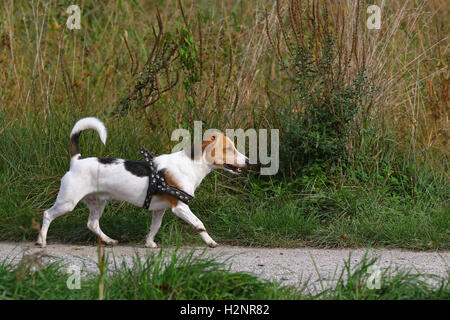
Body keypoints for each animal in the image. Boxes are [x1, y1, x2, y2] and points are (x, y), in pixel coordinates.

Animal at [37, 117, 250, 248]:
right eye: (229, 149)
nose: (248, 161)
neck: (190, 164)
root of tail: (77, 160)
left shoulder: (159, 210)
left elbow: (154, 228)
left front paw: (149, 243)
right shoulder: (180, 207)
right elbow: (199, 224)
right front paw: (210, 241)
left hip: (98, 202)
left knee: (92, 224)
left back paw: (109, 240)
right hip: (67, 202)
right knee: (47, 214)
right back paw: (42, 240)